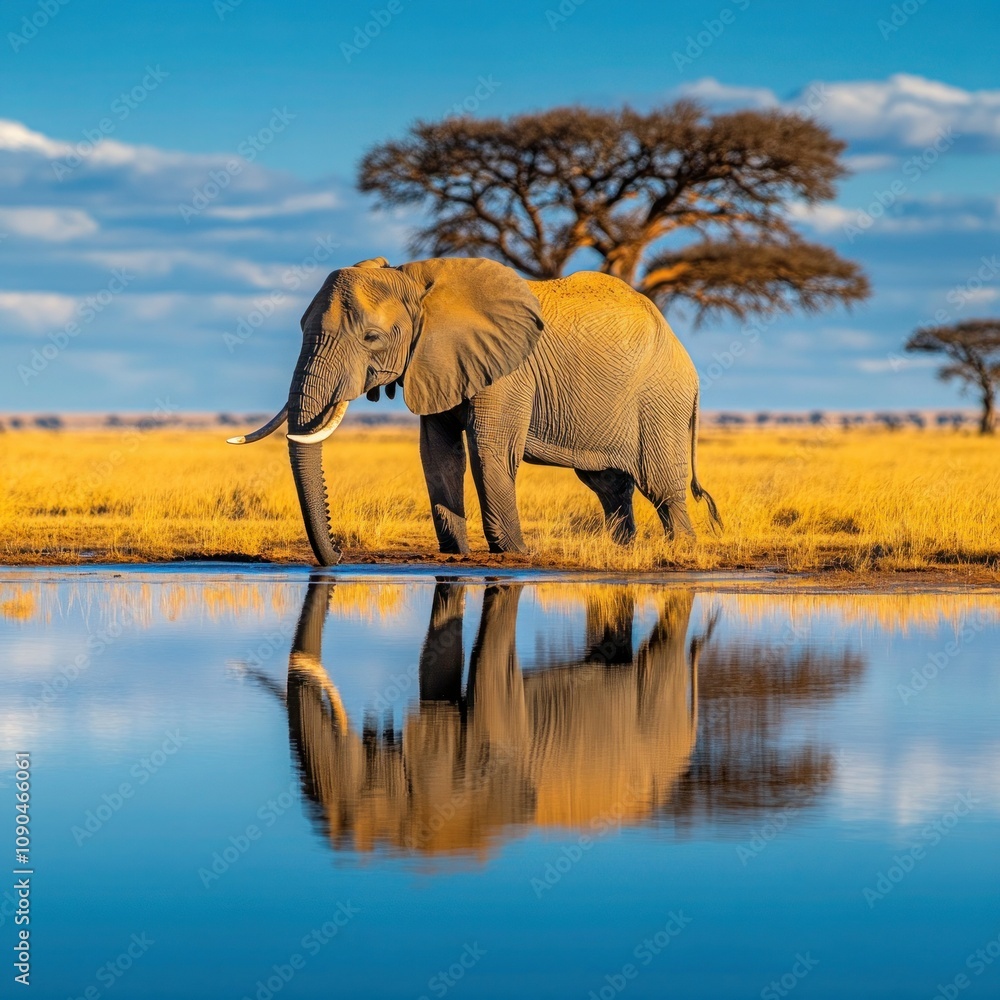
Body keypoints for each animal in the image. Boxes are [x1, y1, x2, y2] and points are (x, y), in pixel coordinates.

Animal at [228, 256, 721, 565]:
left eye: (371, 337)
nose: (340, 556)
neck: (415, 281)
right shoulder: (435, 361)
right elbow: (437, 453)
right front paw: (456, 554)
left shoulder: (508, 371)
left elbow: (490, 451)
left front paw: (515, 554)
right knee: (609, 487)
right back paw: (623, 553)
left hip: (660, 401)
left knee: (662, 489)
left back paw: (680, 552)